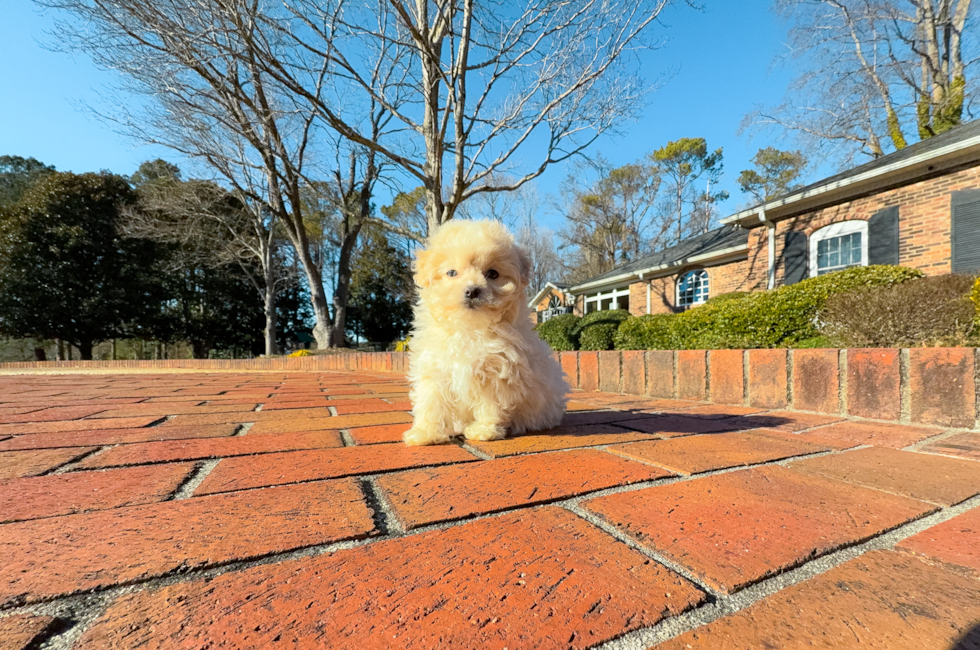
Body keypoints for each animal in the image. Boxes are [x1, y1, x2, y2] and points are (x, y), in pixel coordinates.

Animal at [404, 219, 572, 446]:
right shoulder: (435, 368)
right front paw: (424, 433)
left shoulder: (498, 370)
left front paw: (484, 431)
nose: (472, 290)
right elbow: (431, 401)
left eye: (493, 273)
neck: (469, 328)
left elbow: (491, 404)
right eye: (451, 273)